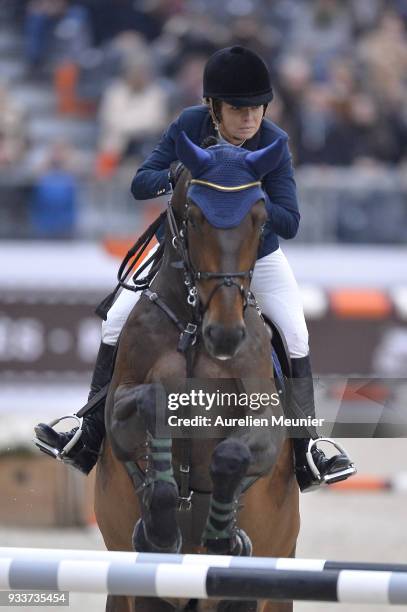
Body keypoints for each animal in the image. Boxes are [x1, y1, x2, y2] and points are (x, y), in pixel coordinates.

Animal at [94, 134, 302, 612]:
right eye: (193, 216)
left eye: (261, 219)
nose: (224, 335)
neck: (193, 325)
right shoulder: (120, 409)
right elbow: (152, 402)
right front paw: (161, 524)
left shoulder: (265, 420)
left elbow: (232, 453)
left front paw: (226, 535)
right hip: (133, 593)